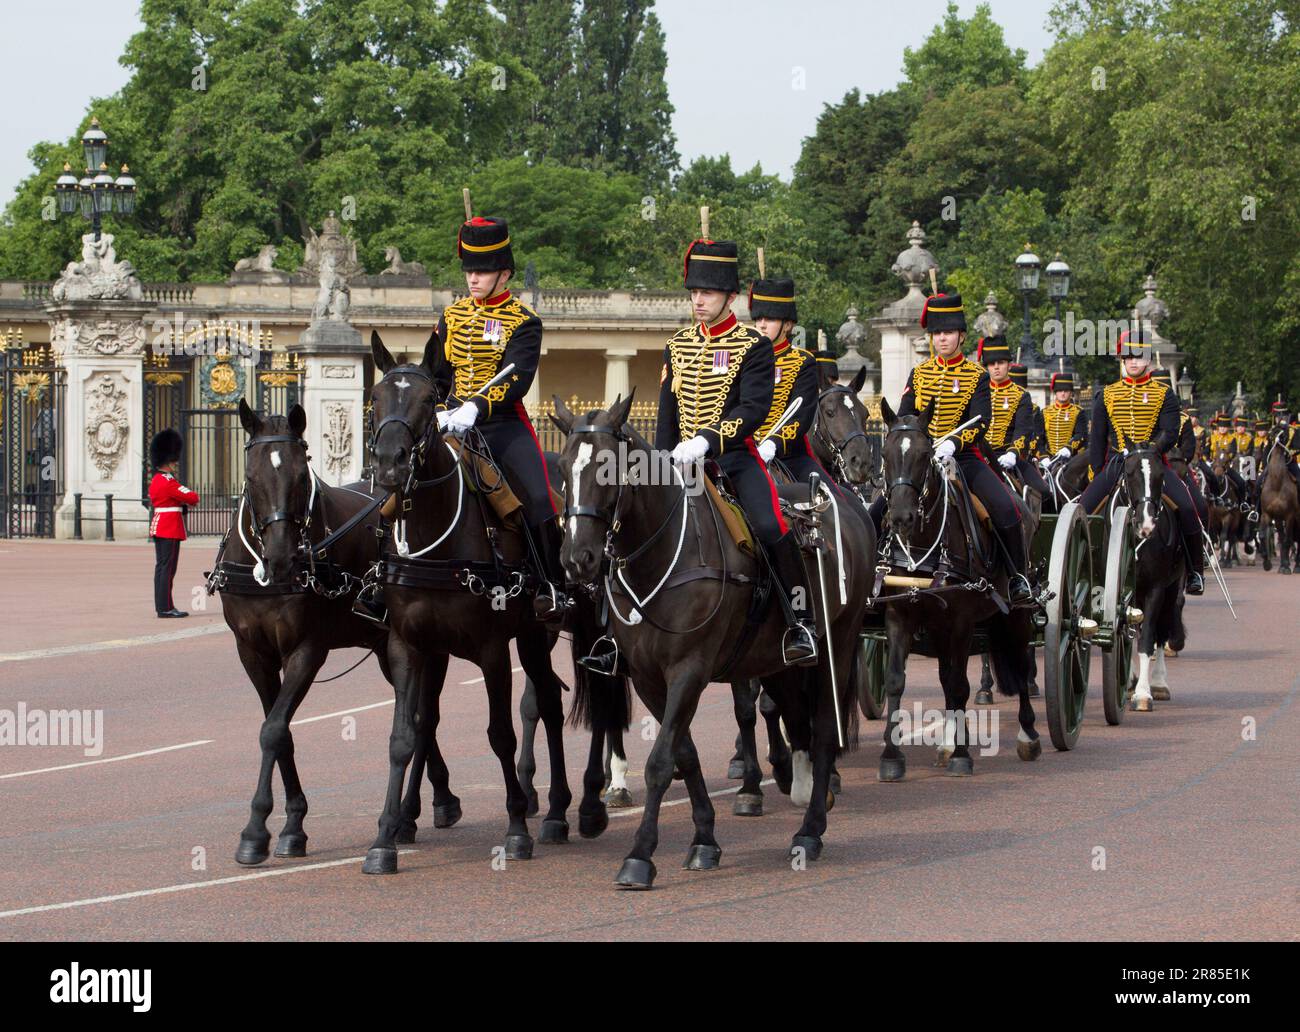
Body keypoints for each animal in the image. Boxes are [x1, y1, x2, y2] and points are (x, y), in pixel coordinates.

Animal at [211, 397, 457, 863]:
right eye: (250, 477)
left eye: (301, 474)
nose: (281, 560)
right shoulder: (252, 653)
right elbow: (280, 731)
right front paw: (291, 823)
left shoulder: (307, 650)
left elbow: (273, 730)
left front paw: (256, 829)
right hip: (385, 648)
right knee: (419, 716)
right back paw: (426, 805)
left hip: (430, 645)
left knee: (425, 717)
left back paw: (420, 809)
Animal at [551, 395, 868, 883]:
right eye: (565, 468)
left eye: (609, 469)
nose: (576, 558)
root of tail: (848, 503)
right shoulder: (648, 677)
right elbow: (683, 753)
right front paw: (704, 839)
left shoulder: (689, 670)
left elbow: (660, 762)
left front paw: (640, 856)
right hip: (775, 660)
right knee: (794, 717)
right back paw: (797, 783)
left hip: (842, 642)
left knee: (823, 729)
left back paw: (810, 829)